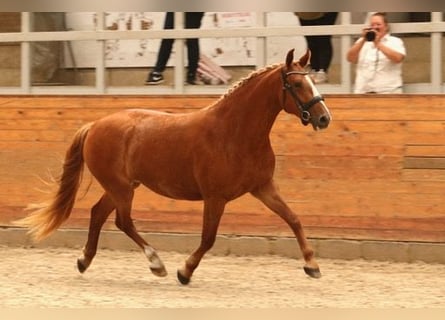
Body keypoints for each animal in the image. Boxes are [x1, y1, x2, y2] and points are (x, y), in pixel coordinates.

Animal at [15, 48, 330, 284]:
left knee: (98, 214)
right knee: (122, 221)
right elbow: (208, 238)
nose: (324, 118)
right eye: (297, 85)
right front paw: (184, 271)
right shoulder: (215, 197)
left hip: (121, 186)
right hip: (121, 188)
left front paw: (312, 266)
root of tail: (95, 125)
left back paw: (84, 261)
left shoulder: (262, 187)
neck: (234, 133)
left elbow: (294, 219)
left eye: (313, 82)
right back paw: (157, 264)